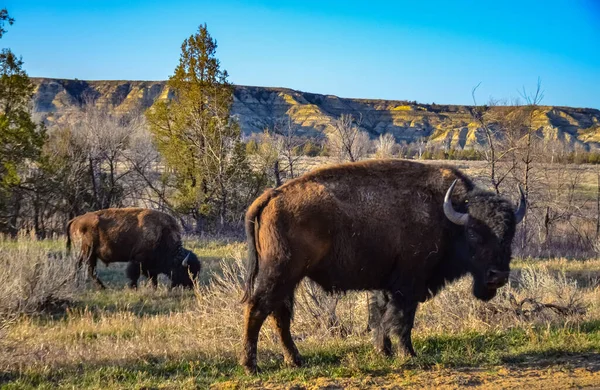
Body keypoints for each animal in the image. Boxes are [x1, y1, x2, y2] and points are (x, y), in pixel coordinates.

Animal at [67, 209, 200, 288]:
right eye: (186, 270)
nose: (192, 285)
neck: (162, 234)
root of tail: (76, 220)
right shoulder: (138, 259)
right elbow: (135, 274)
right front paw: (133, 288)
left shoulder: (150, 265)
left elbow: (153, 277)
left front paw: (154, 288)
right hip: (86, 252)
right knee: (86, 268)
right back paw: (99, 287)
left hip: (90, 254)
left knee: (85, 268)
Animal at [239, 158, 524, 372]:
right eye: (474, 233)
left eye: (510, 234)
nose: (497, 276)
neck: (445, 216)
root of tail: (271, 195)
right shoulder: (408, 284)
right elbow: (402, 319)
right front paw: (408, 354)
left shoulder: (385, 283)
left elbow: (380, 316)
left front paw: (384, 351)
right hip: (280, 274)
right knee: (257, 309)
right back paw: (251, 366)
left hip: (289, 278)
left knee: (279, 314)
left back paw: (295, 360)